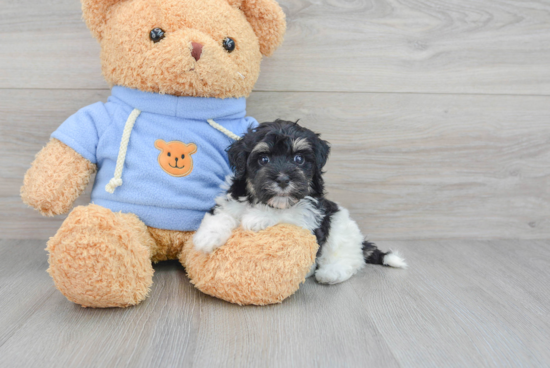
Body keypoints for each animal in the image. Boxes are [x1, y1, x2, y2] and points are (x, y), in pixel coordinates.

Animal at [193, 119, 406, 284]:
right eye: (263, 159)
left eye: (298, 159)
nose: (282, 179)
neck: (263, 200)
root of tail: (361, 242)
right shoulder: (232, 200)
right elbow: (221, 214)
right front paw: (207, 237)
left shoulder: (307, 215)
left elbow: (288, 212)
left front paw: (257, 217)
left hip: (341, 230)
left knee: (349, 259)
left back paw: (331, 273)